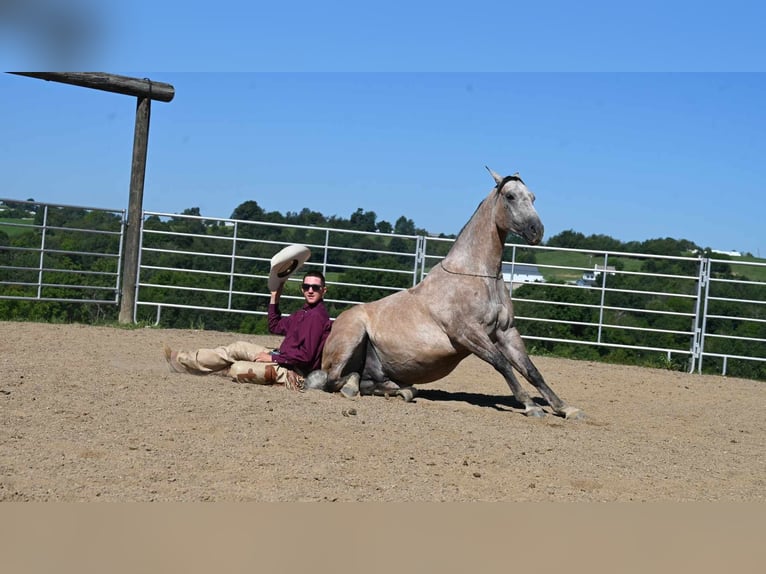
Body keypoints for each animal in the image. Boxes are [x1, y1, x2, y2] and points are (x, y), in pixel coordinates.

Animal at [304, 166, 584, 418]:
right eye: (510, 196)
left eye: (533, 197)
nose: (537, 231)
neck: (478, 276)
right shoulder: (469, 333)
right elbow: (502, 364)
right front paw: (530, 406)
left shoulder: (506, 332)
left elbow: (531, 370)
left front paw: (564, 408)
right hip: (352, 337)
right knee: (334, 380)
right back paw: (353, 387)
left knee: (373, 384)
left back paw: (401, 390)